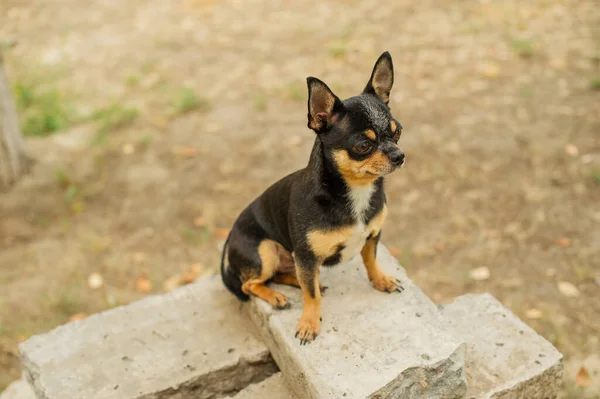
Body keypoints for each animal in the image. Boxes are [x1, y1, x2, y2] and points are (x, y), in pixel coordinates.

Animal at [219, 51, 404, 346]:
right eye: (363, 146)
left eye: (398, 133)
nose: (400, 156)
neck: (355, 192)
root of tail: (229, 238)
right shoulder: (305, 256)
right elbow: (311, 295)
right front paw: (309, 323)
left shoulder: (372, 235)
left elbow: (371, 261)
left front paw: (381, 280)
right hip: (265, 251)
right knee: (251, 284)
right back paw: (277, 296)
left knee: (288, 275)